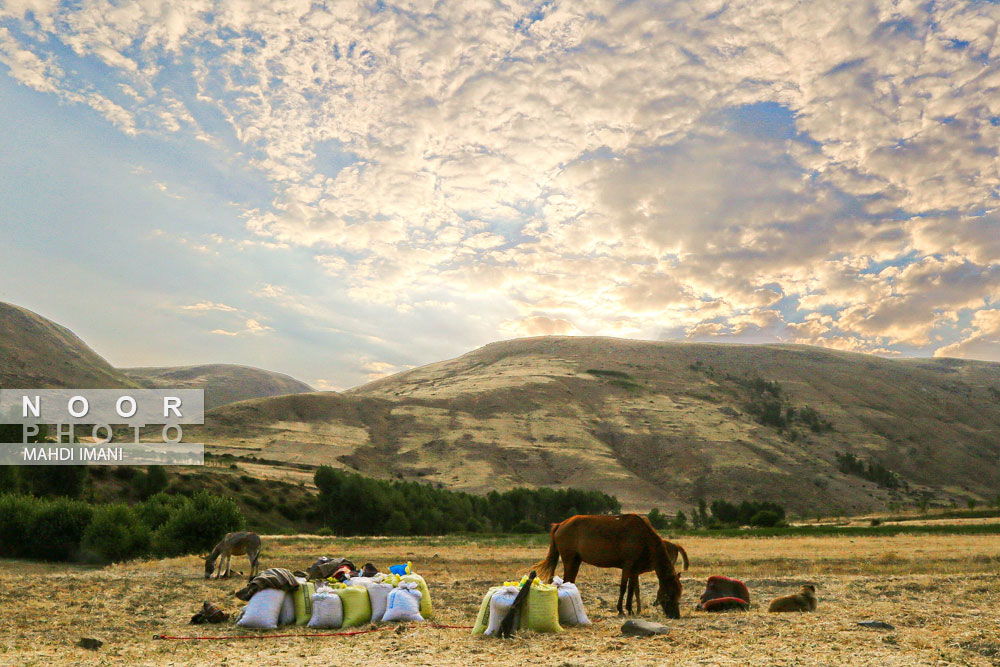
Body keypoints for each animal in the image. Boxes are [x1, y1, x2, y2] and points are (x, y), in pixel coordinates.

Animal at [536, 516, 684, 620]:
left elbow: (631, 590)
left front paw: (630, 610)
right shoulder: (628, 566)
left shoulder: (634, 570)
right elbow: (623, 588)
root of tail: (560, 524)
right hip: (570, 561)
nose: (676, 615)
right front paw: (621, 610)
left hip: (576, 562)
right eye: (670, 594)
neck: (642, 536)